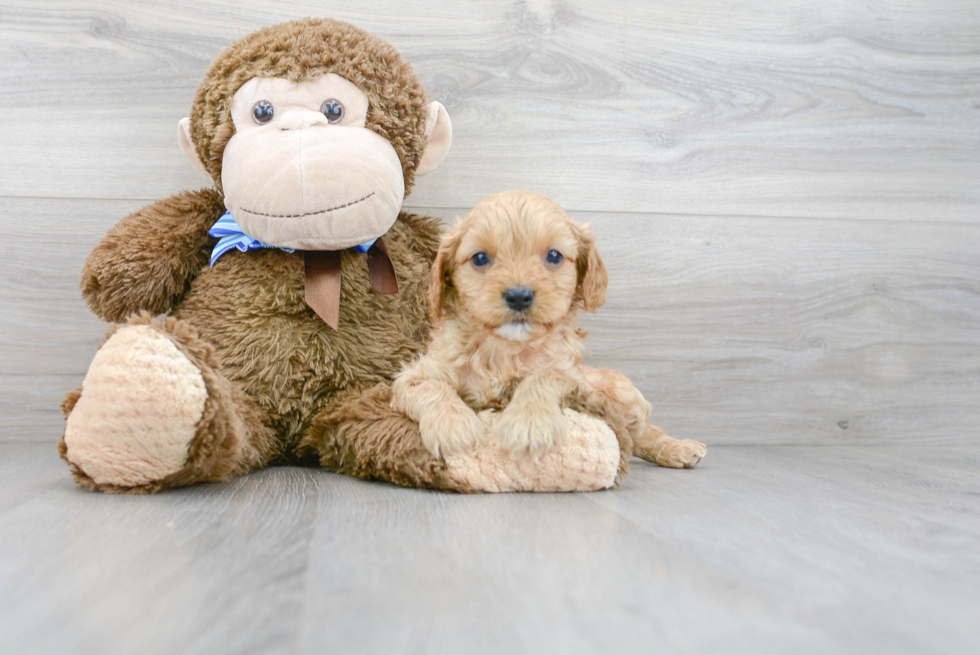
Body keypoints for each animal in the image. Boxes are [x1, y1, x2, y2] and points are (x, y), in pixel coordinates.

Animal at [390, 188, 704, 466]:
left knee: (640, 434)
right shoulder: (412, 377)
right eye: (480, 258)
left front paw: (529, 425)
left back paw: (677, 449)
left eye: (554, 256)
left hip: (626, 396)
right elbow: (431, 387)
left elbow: (541, 377)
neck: (503, 349)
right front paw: (454, 427)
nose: (519, 296)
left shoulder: (569, 374)